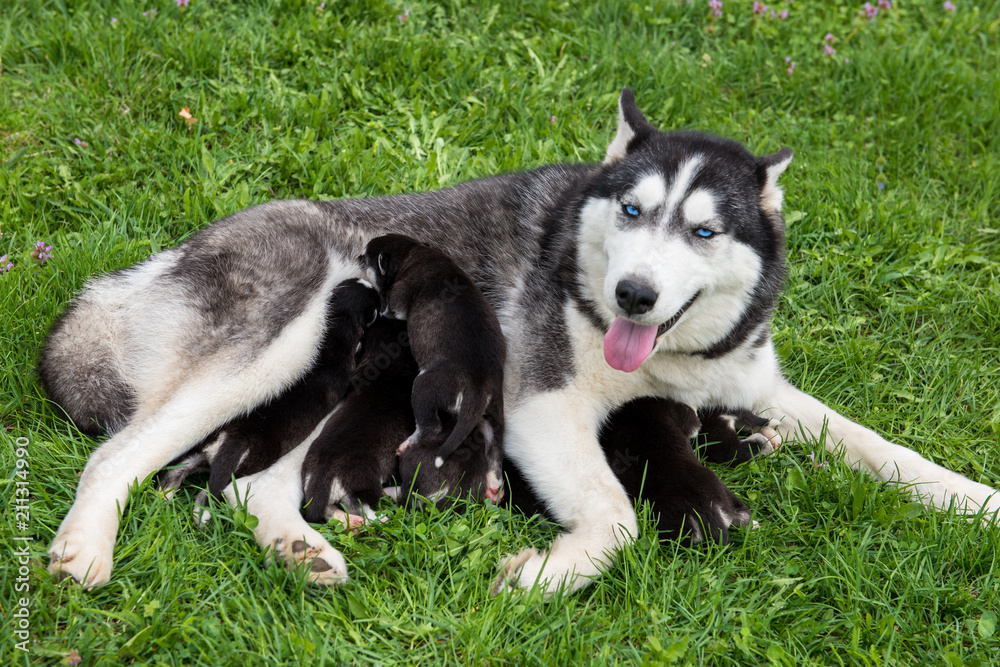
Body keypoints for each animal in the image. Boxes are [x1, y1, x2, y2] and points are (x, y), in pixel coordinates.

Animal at [362, 235, 508, 470]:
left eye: (366, 257)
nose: (358, 257)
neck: (414, 254)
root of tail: (478, 386)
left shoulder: (400, 296)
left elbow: (390, 308)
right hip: (493, 414)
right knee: (494, 448)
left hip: (423, 387)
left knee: (431, 427)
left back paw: (407, 444)